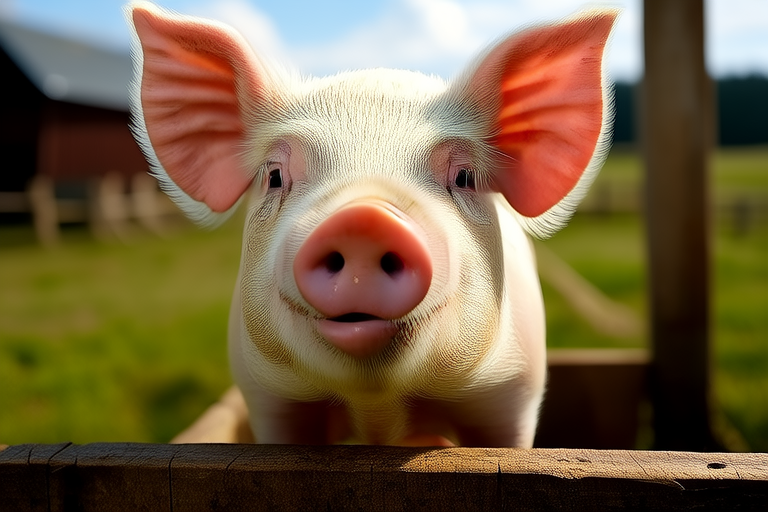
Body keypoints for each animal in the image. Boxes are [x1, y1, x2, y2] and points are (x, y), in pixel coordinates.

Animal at [126, 1, 617, 447]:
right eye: (274, 175)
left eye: (464, 177)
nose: (363, 218)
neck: (376, 404)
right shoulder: (269, 398)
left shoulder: (513, 393)